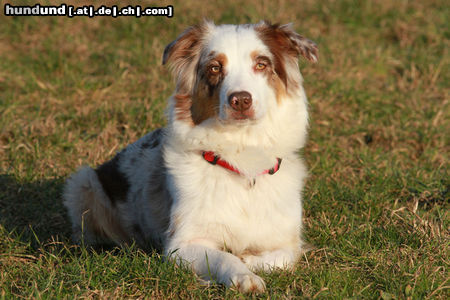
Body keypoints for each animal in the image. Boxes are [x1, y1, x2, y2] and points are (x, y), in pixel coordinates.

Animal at [63, 21, 318, 292]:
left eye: (261, 64)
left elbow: (284, 258)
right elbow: (223, 257)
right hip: (84, 182)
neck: (242, 155)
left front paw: (249, 260)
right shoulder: (183, 245)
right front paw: (244, 276)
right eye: (215, 67)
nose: (240, 100)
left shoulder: (287, 240)